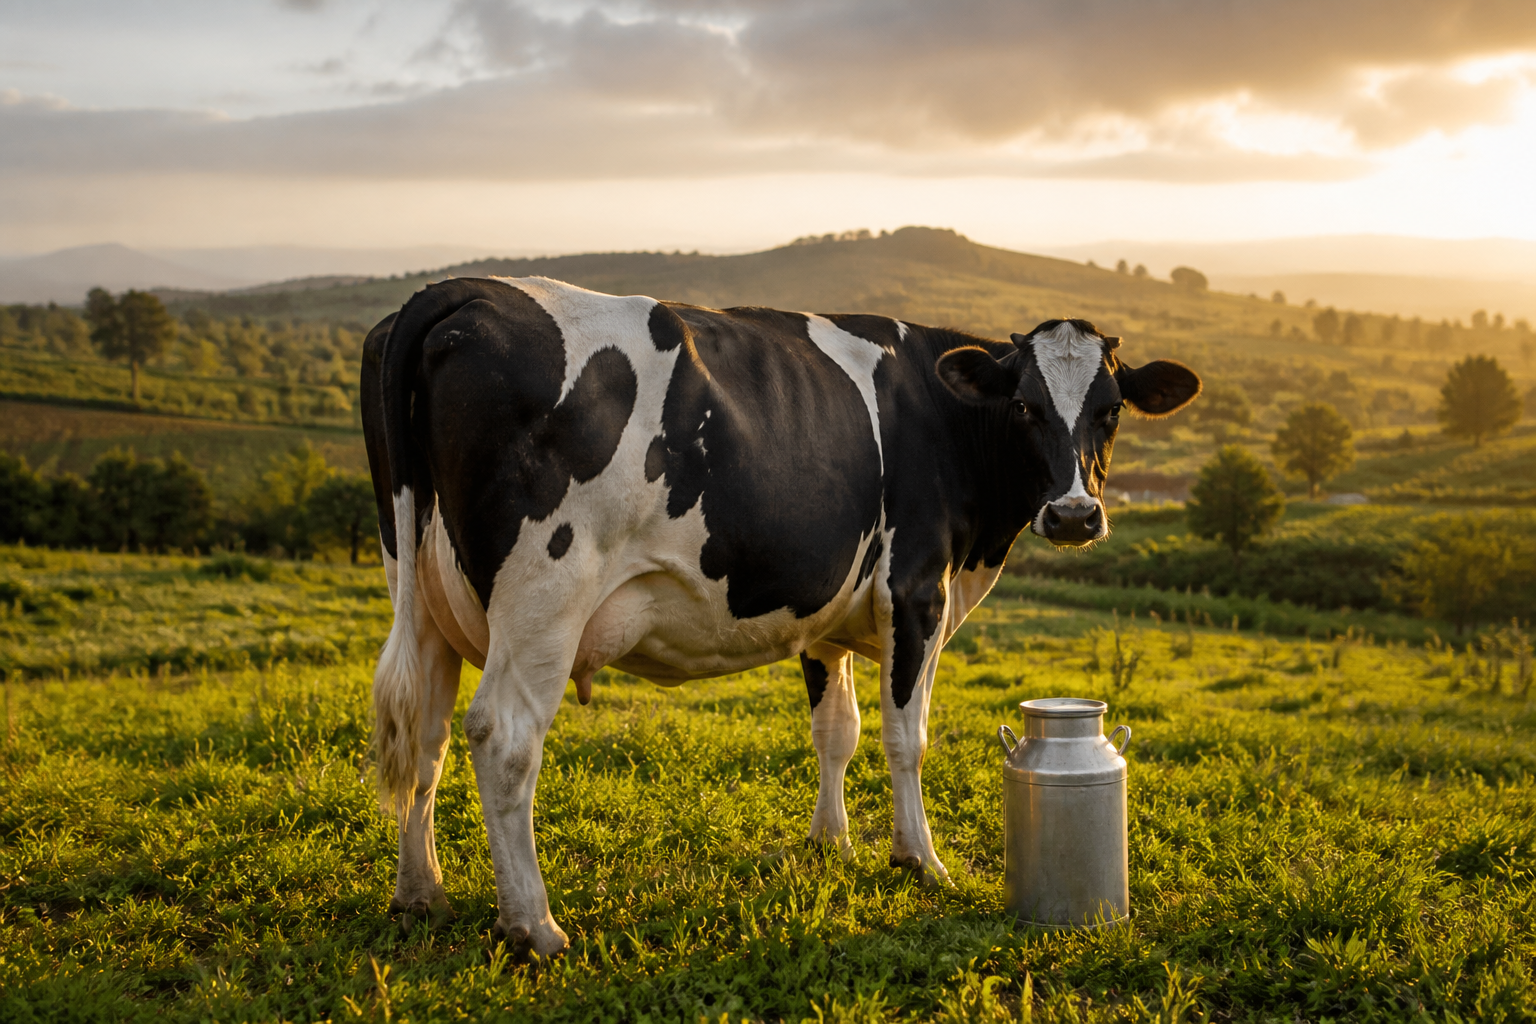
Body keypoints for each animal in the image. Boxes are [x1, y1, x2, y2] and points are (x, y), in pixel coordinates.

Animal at [360, 276, 1200, 957]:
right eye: (1024, 405)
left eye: (1111, 411)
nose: (1074, 514)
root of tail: (459, 290)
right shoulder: (915, 591)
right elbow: (906, 737)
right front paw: (920, 861)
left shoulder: (825, 617)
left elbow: (837, 731)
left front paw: (832, 844)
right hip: (544, 595)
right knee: (502, 738)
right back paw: (532, 926)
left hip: (421, 592)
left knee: (425, 735)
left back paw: (421, 892)